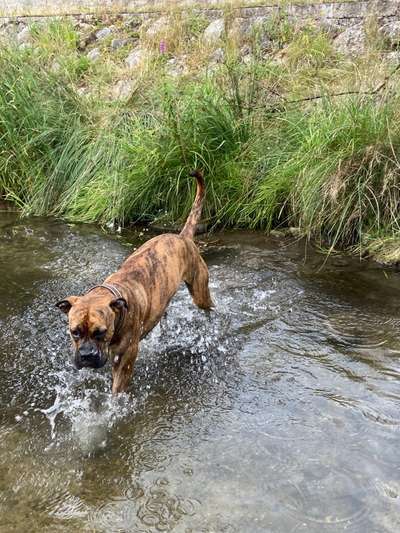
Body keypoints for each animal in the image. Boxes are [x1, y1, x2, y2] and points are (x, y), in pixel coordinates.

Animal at [57, 172, 212, 392]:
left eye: (101, 332)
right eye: (74, 332)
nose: (86, 355)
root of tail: (183, 238)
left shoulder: (125, 359)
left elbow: (117, 390)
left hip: (199, 290)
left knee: (208, 307)